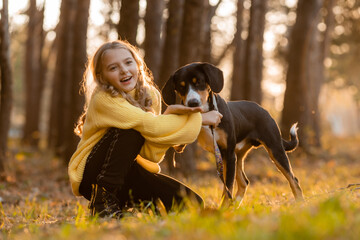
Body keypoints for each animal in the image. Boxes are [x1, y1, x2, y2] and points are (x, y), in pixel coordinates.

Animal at [162, 62, 304, 204]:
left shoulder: (228, 153)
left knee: (293, 179)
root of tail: (264, 110)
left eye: (199, 82)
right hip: (238, 155)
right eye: (181, 87)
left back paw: (300, 204)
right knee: (244, 182)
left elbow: (227, 188)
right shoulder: (227, 155)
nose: (193, 103)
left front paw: (223, 207)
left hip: (274, 149)